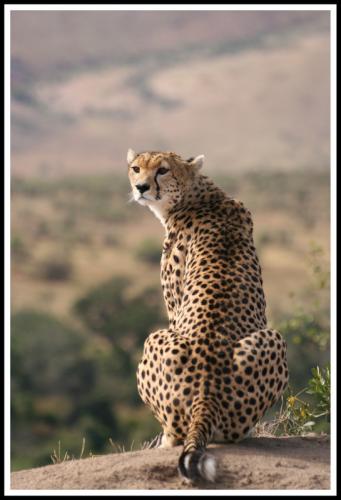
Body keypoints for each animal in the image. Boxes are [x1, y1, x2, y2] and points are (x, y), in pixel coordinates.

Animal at [126, 147, 288, 480]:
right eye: (136, 168)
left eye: (162, 170)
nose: (141, 187)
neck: (198, 194)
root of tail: (206, 392)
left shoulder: (173, 308)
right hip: (272, 339)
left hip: (155, 337)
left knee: (177, 432)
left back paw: (164, 441)